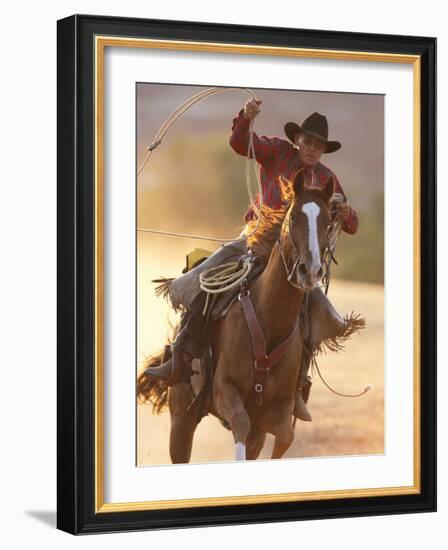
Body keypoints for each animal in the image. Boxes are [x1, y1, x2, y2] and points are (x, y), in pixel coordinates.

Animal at [138, 170, 352, 464]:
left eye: (328, 221)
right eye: (293, 217)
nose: (310, 271)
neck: (269, 322)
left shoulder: (276, 411)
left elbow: (286, 436)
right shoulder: (224, 390)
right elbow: (240, 420)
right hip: (181, 418)